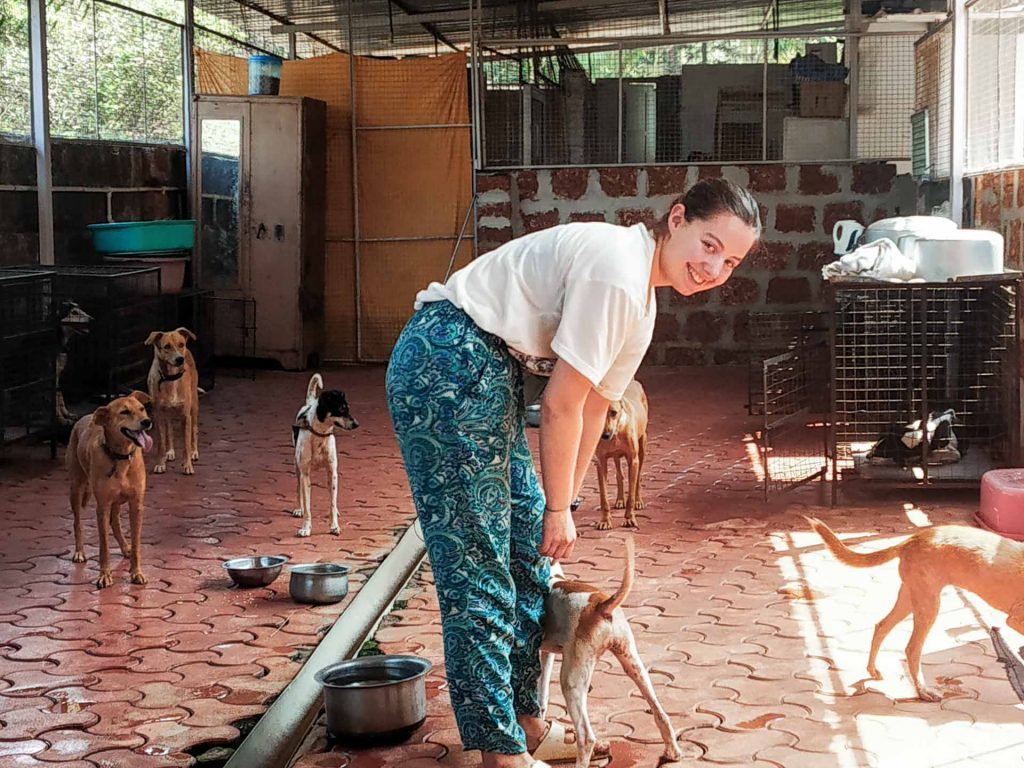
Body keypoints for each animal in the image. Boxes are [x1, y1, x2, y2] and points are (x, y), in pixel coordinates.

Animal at [69, 391, 155, 589]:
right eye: (124, 412)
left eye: (142, 408)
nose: (147, 422)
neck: (120, 457)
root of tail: (85, 416)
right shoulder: (102, 507)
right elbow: (104, 547)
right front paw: (104, 575)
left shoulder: (136, 505)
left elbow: (137, 543)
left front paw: (136, 572)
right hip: (76, 487)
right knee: (77, 522)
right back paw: (79, 552)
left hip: (116, 501)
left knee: (115, 523)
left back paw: (125, 548)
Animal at [292, 376, 360, 536]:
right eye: (341, 409)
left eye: (348, 408)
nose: (357, 424)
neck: (320, 435)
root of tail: (309, 402)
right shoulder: (305, 474)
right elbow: (307, 507)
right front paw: (306, 528)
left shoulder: (332, 472)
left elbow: (332, 503)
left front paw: (334, 525)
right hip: (297, 467)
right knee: (298, 489)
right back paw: (299, 508)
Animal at [540, 536, 684, 768]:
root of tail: (601, 605)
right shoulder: (546, 653)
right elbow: (542, 696)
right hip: (633, 663)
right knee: (660, 713)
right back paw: (673, 752)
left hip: (571, 679)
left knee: (585, 736)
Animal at [593, 378, 647, 528]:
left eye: (613, 412)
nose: (605, 435)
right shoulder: (601, 462)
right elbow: (604, 497)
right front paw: (605, 520)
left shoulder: (633, 460)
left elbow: (631, 493)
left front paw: (629, 518)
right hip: (616, 457)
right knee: (619, 475)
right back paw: (620, 500)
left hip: (642, 447)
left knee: (638, 478)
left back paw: (638, 501)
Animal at [811, 518, 1024, 704]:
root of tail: (911, 540)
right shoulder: (1014, 619)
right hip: (928, 605)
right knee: (912, 648)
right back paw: (923, 691)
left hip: (910, 598)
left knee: (882, 626)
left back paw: (873, 670)